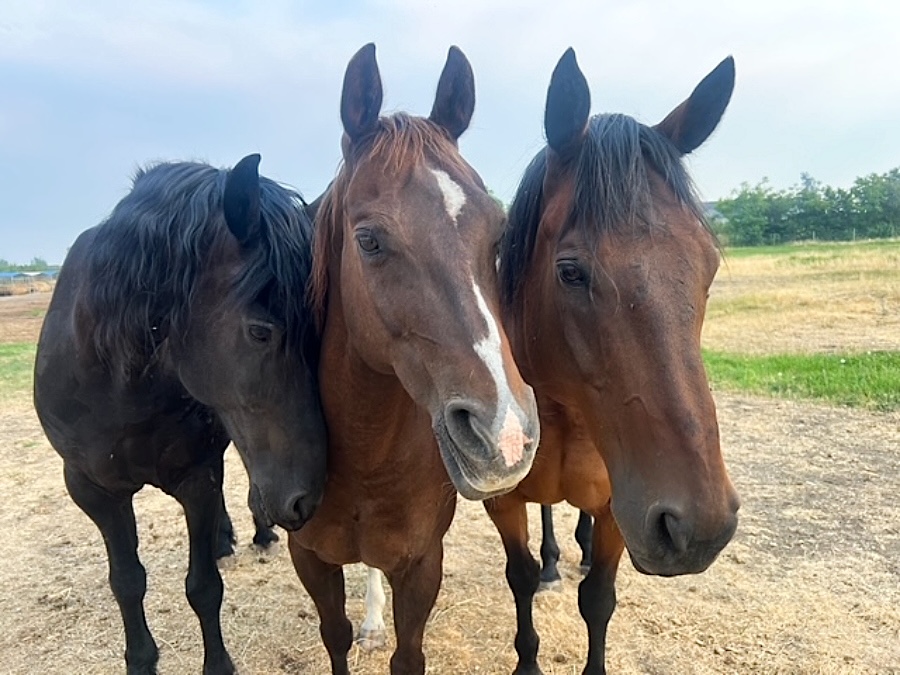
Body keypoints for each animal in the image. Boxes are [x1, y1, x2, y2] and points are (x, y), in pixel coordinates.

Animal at [33, 154, 327, 674]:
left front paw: (218, 664)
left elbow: (204, 586)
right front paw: (140, 660)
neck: (120, 384)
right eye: (259, 331)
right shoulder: (92, 489)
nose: (307, 500)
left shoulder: (198, 477)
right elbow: (127, 581)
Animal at [287, 43, 541, 675]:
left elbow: (409, 655)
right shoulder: (310, 558)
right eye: (369, 240)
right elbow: (333, 637)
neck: (364, 454)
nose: (505, 432)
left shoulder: (423, 564)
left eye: (498, 233)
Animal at [485, 49, 742, 674]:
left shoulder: (619, 513)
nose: (701, 526)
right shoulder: (503, 501)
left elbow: (598, 599)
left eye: (708, 264)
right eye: (570, 271)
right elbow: (519, 577)